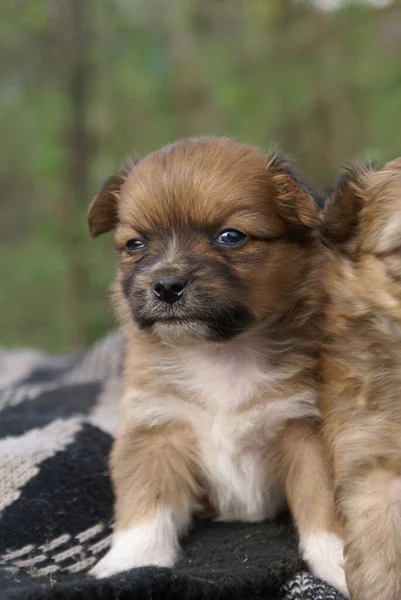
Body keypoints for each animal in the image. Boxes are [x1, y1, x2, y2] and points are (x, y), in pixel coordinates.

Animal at [89, 137, 346, 596]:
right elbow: (145, 505)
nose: (166, 285)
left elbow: (323, 507)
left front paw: (340, 563)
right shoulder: (154, 429)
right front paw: (130, 563)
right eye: (135, 244)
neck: (220, 354)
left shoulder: (307, 431)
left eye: (231, 237)